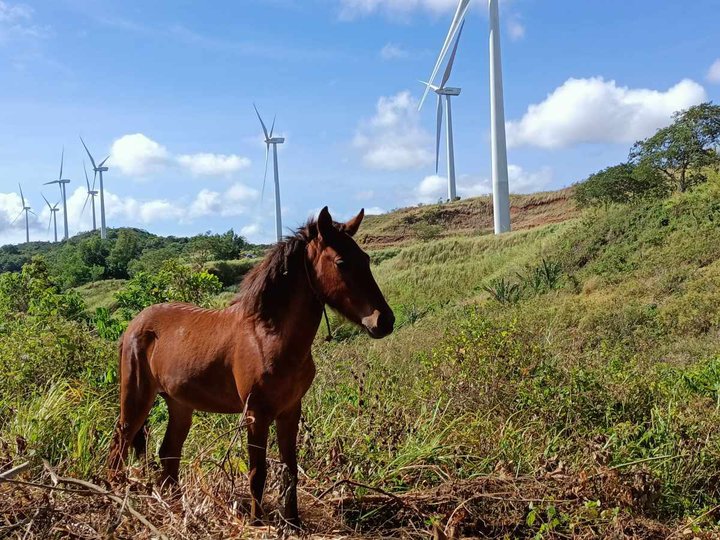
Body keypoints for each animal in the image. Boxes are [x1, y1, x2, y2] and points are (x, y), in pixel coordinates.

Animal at [108, 208, 394, 528]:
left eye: (365, 259)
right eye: (342, 262)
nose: (384, 321)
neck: (267, 335)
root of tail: (133, 325)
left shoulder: (290, 411)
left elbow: (290, 469)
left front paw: (293, 521)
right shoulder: (257, 414)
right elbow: (258, 472)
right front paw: (258, 522)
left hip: (179, 404)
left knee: (169, 453)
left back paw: (176, 507)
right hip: (136, 397)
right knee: (119, 444)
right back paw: (115, 496)